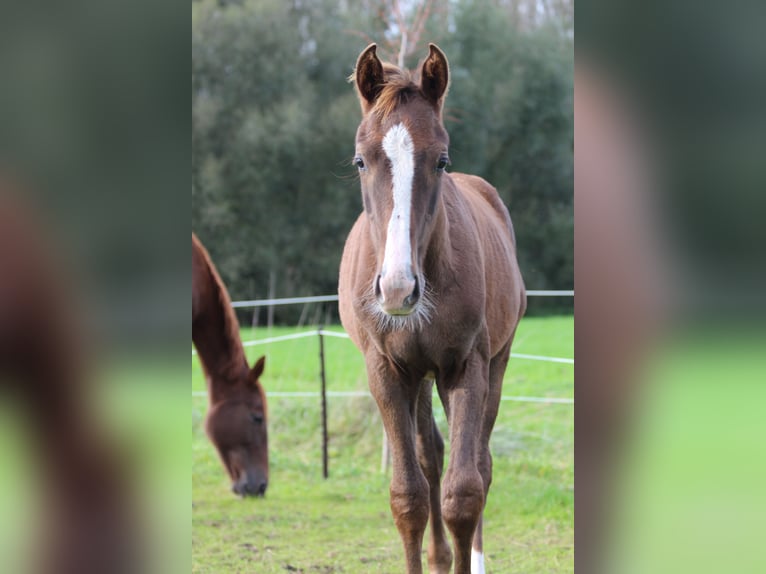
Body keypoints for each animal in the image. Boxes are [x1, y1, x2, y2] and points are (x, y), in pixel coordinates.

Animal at [340, 46, 528, 574]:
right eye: (360, 161)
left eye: (441, 160)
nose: (398, 290)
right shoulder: (387, 372)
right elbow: (409, 495)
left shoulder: (466, 368)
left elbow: (463, 493)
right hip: (420, 378)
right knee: (432, 456)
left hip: (495, 363)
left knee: (480, 463)